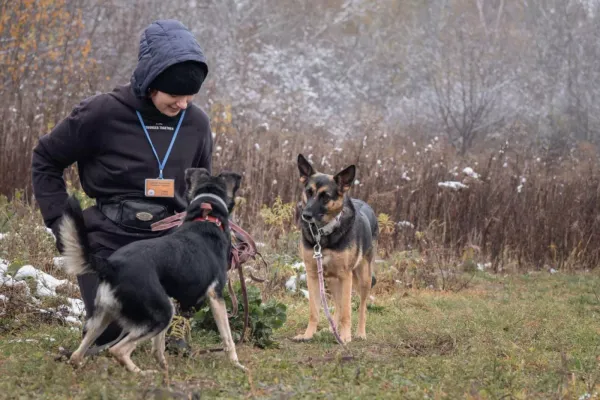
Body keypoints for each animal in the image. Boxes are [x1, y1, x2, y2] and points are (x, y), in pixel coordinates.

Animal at [56, 168, 244, 372]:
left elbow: (158, 346)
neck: (206, 216)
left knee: (77, 354)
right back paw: (143, 373)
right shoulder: (215, 296)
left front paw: (164, 367)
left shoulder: (176, 299)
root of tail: (111, 266)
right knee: (118, 350)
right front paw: (237, 364)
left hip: (104, 317)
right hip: (162, 313)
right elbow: (228, 337)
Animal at [292, 154, 378, 344]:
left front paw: (345, 337)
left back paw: (360, 332)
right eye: (309, 192)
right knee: (338, 304)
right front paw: (308, 334)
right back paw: (333, 330)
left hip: (363, 277)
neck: (323, 234)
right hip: (331, 279)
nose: (305, 215)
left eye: (325, 196)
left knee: (362, 306)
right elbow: (314, 311)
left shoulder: (346, 276)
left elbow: (347, 311)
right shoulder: (313, 274)